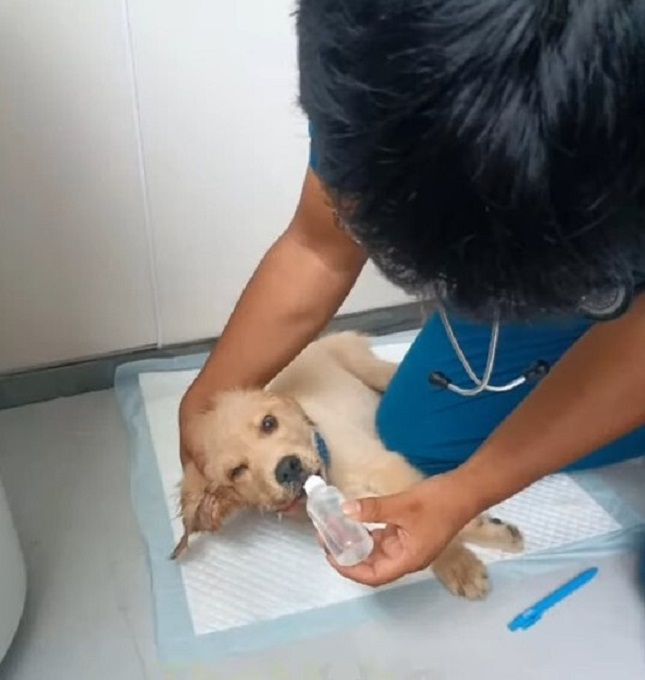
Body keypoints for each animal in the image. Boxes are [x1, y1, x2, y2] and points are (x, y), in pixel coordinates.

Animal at [172, 332, 524, 596]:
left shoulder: (387, 466)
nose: (287, 467)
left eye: (269, 423)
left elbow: (429, 512)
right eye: (237, 471)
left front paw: (469, 556)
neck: (333, 473)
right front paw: (462, 559)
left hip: (370, 368)